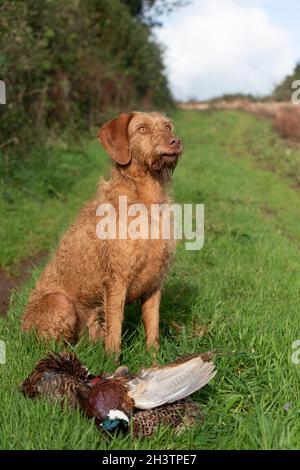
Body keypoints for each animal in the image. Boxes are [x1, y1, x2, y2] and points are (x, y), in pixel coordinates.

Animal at [21, 111, 183, 352]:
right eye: (142, 129)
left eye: (168, 127)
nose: (176, 141)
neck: (145, 201)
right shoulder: (116, 280)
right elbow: (115, 332)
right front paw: (114, 360)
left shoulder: (155, 283)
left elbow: (152, 329)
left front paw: (155, 358)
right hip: (60, 303)